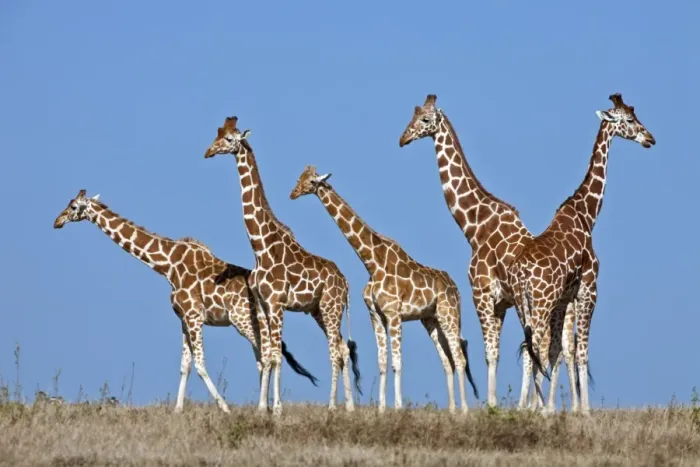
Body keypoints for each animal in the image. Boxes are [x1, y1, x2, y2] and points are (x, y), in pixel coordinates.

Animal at [53, 189, 319, 413]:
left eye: (74, 206)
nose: (57, 222)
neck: (167, 266)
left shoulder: (194, 317)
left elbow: (200, 364)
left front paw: (224, 408)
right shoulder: (183, 319)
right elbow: (185, 365)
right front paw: (178, 410)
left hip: (244, 321)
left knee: (267, 355)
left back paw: (268, 408)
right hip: (253, 323)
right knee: (263, 358)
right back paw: (264, 406)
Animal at [204, 117, 361, 415]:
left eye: (229, 139)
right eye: (215, 135)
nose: (207, 152)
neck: (260, 247)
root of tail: (346, 282)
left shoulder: (277, 303)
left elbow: (276, 355)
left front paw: (276, 409)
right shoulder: (263, 305)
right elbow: (267, 355)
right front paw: (261, 408)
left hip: (330, 307)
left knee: (335, 350)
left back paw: (333, 406)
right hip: (318, 310)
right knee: (342, 348)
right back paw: (348, 407)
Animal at [290, 165, 479, 413]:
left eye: (311, 181)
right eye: (298, 179)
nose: (293, 193)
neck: (372, 262)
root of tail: (455, 289)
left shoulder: (394, 314)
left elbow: (397, 363)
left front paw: (397, 407)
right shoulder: (376, 315)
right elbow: (382, 362)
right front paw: (381, 409)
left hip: (449, 314)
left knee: (460, 358)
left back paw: (465, 410)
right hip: (431, 319)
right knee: (447, 361)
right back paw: (452, 410)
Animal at [508, 93, 656, 413]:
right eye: (629, 120)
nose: (650, 138)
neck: (587, 214)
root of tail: (520, 274)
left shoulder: (565, 297)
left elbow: (563, 348)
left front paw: (563, 408)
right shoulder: (589, 289)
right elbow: (582, 350)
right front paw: (584, 410)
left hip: (523, 306)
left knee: (530, 348)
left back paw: (531, 407)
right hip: (541, 303)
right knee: (535, 346)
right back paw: (539, 407)